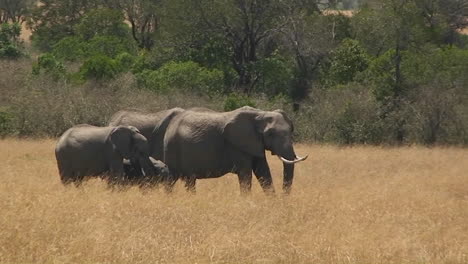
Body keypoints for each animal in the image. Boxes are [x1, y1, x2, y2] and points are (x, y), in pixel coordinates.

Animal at [109, 106, 308, 193]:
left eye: (291, 130)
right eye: (271, 134)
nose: (285, 198)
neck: (260, 113)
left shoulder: (254, 143)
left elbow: (263, 172)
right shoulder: (239, 145)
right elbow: (246, 174)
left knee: (184, 179)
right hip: (172, 148)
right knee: (174, 178)